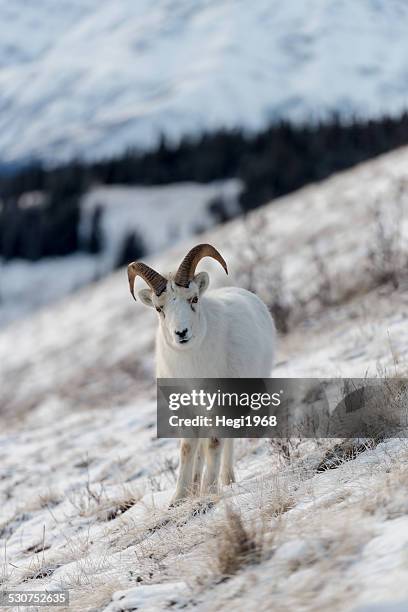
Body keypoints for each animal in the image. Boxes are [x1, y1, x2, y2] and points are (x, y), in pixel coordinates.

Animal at [126, 241, 276, 504]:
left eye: (194, 298)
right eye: (159, 308)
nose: (181, 333)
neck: (192, 369)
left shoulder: (221, 406)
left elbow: (215, 443)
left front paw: (209, 490)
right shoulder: (185, 411)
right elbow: (188, 449)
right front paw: (178, 499)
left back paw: (226, 480)